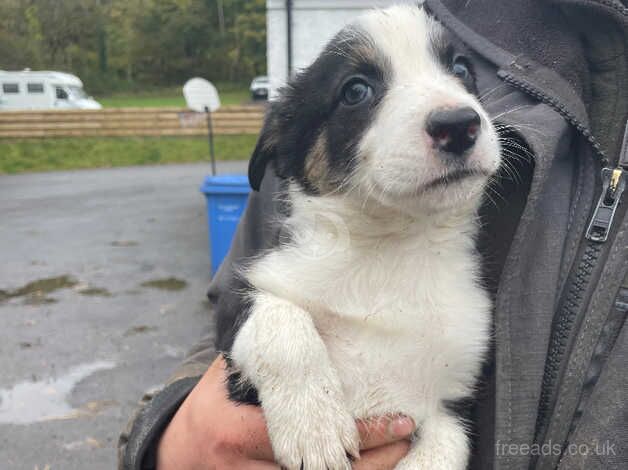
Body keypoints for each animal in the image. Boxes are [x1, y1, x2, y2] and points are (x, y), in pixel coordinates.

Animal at [228, 4, 498, 470]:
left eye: (462, 69)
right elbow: (280, 319)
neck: (389, 248)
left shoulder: (453, 405)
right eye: (356, 91)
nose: (459, 124)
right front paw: (313, 426)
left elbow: (441, 451)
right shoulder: (244, 306)